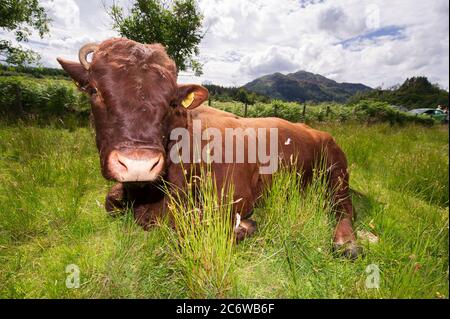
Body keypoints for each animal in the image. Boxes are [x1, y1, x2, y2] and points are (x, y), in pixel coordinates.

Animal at [57, 37, 358, 258]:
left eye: (171, 101)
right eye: (94, 90)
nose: (138, 163)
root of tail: (315, 129)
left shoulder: (235, 197)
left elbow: (190, 224)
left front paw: (245, 226)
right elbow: (111, 200)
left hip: (337, 170)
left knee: (344, 207)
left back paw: (346, 242)